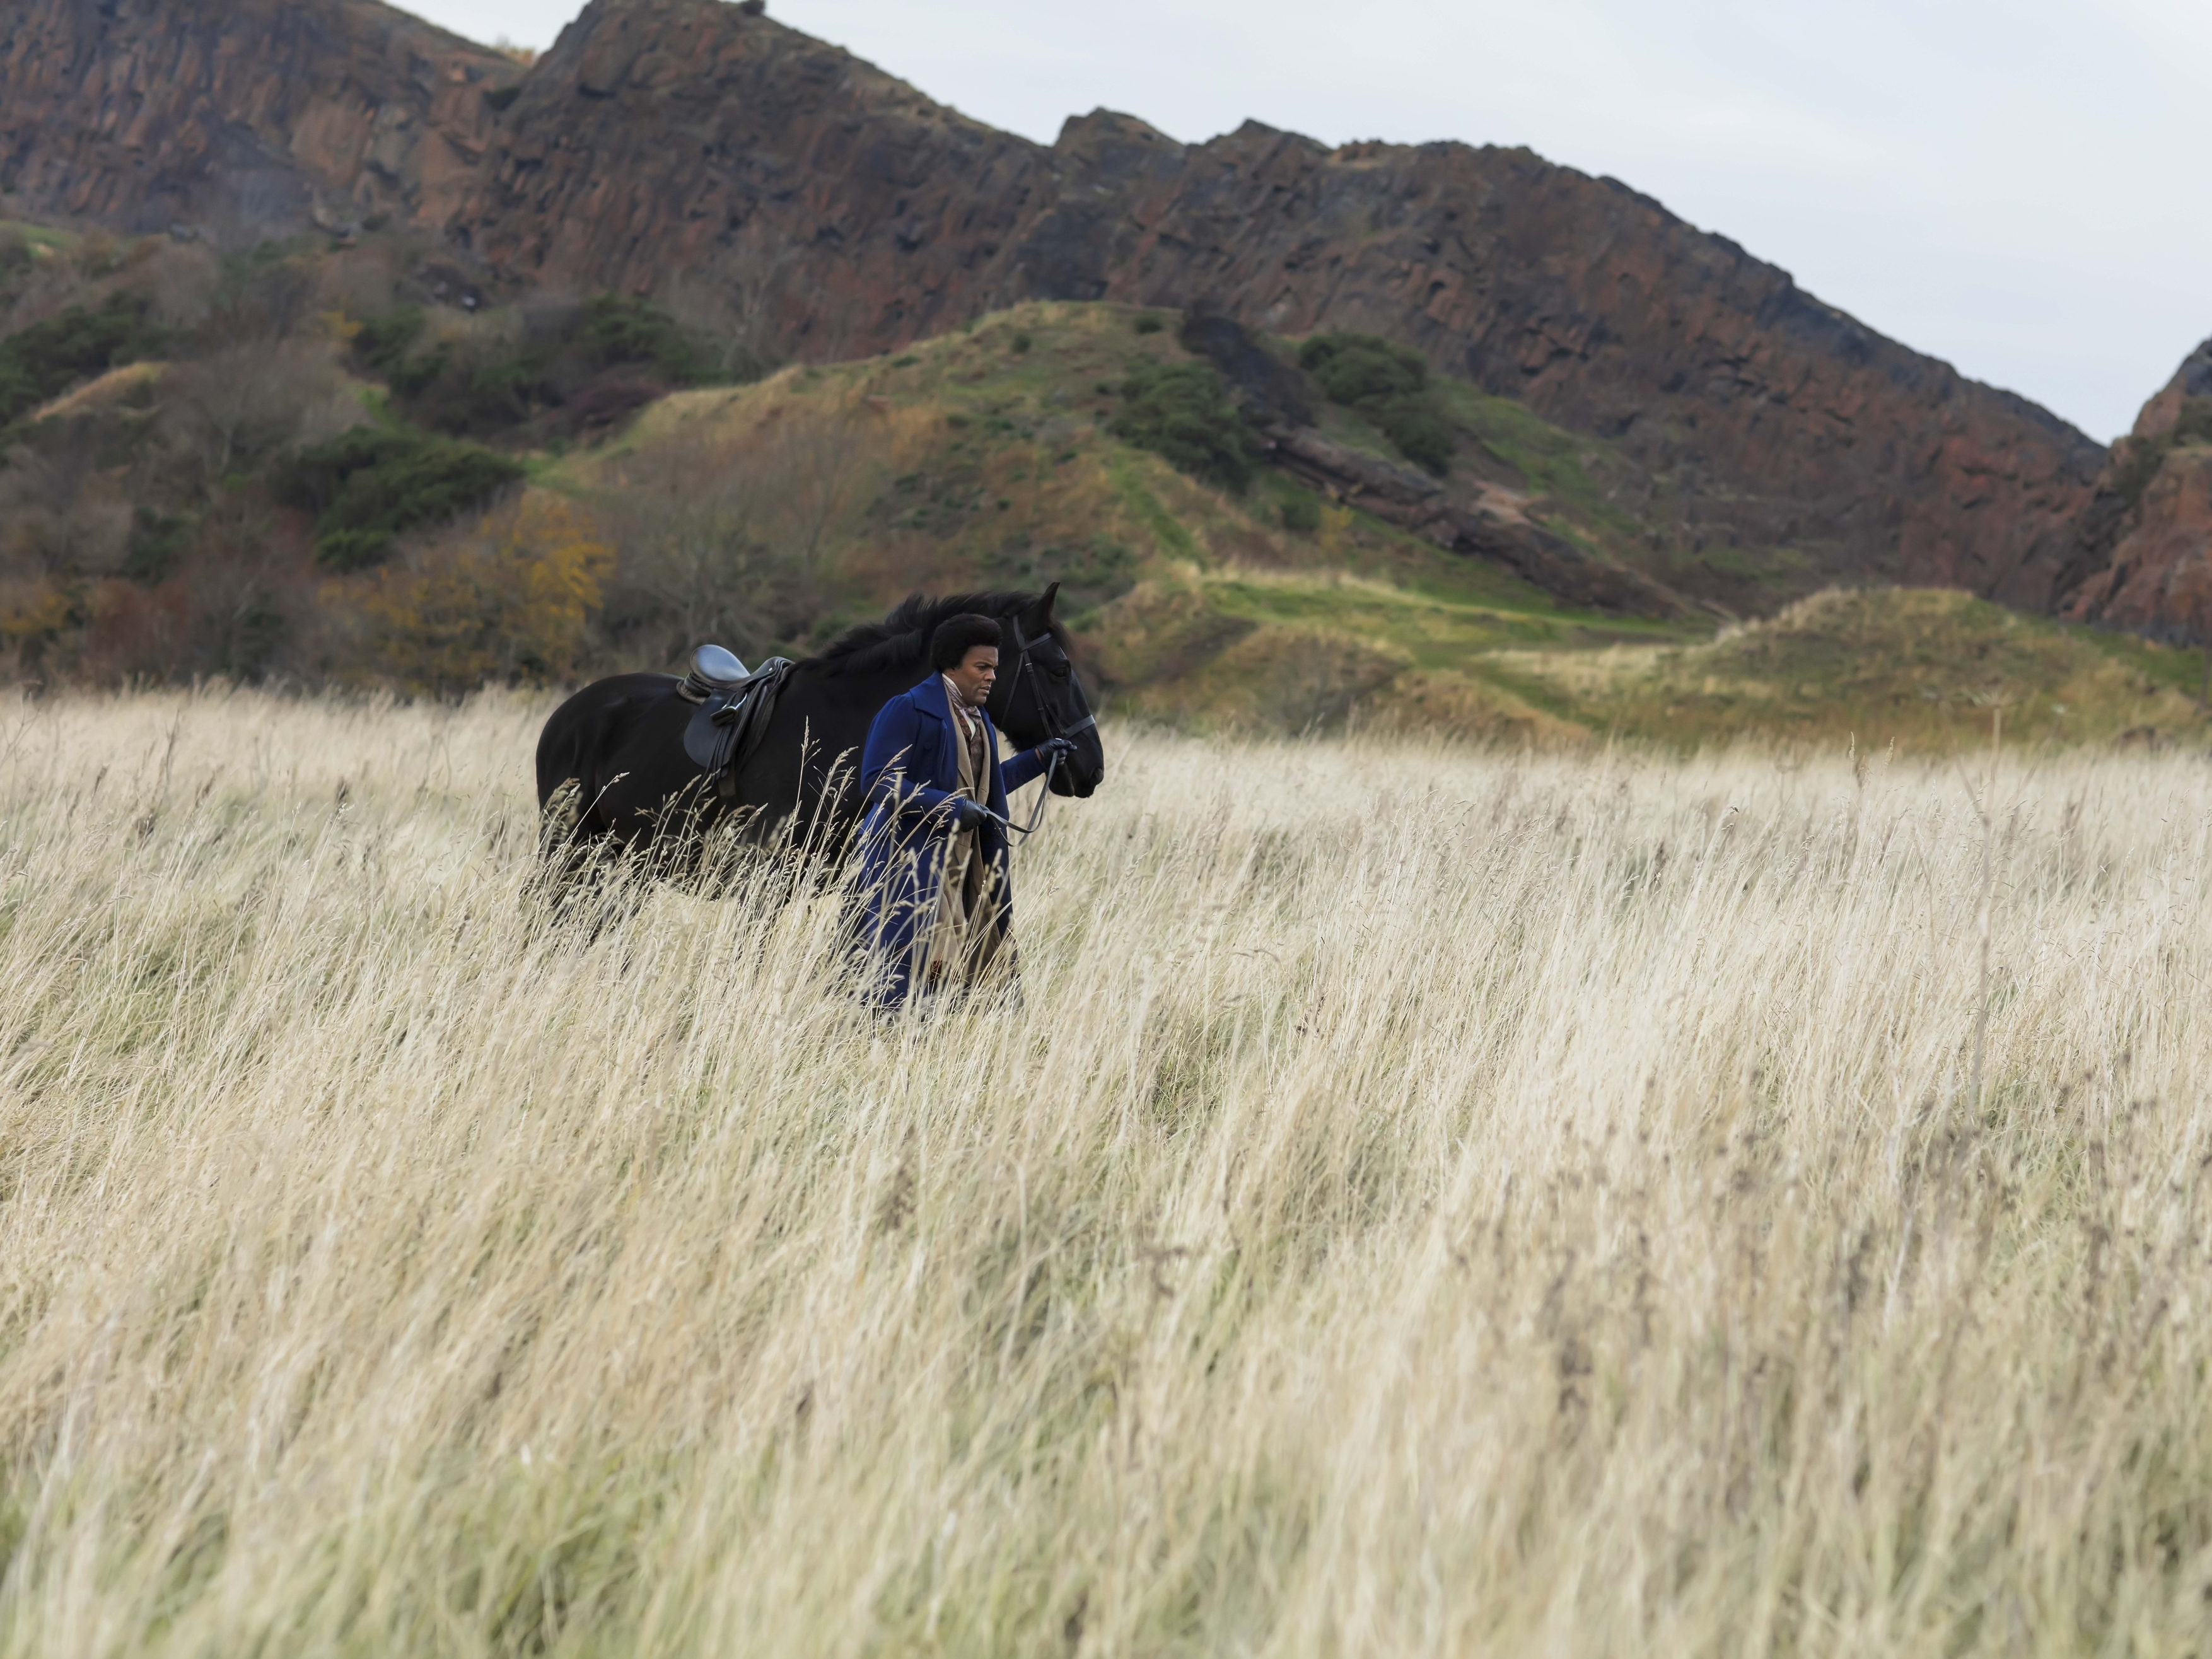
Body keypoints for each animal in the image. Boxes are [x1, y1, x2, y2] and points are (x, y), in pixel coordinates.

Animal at [526, 588, 1097, 898]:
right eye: (1059, 668)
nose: (1092, 765)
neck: (844, 723)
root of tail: (567, 714)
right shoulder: (765, 880)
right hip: (568, 849)